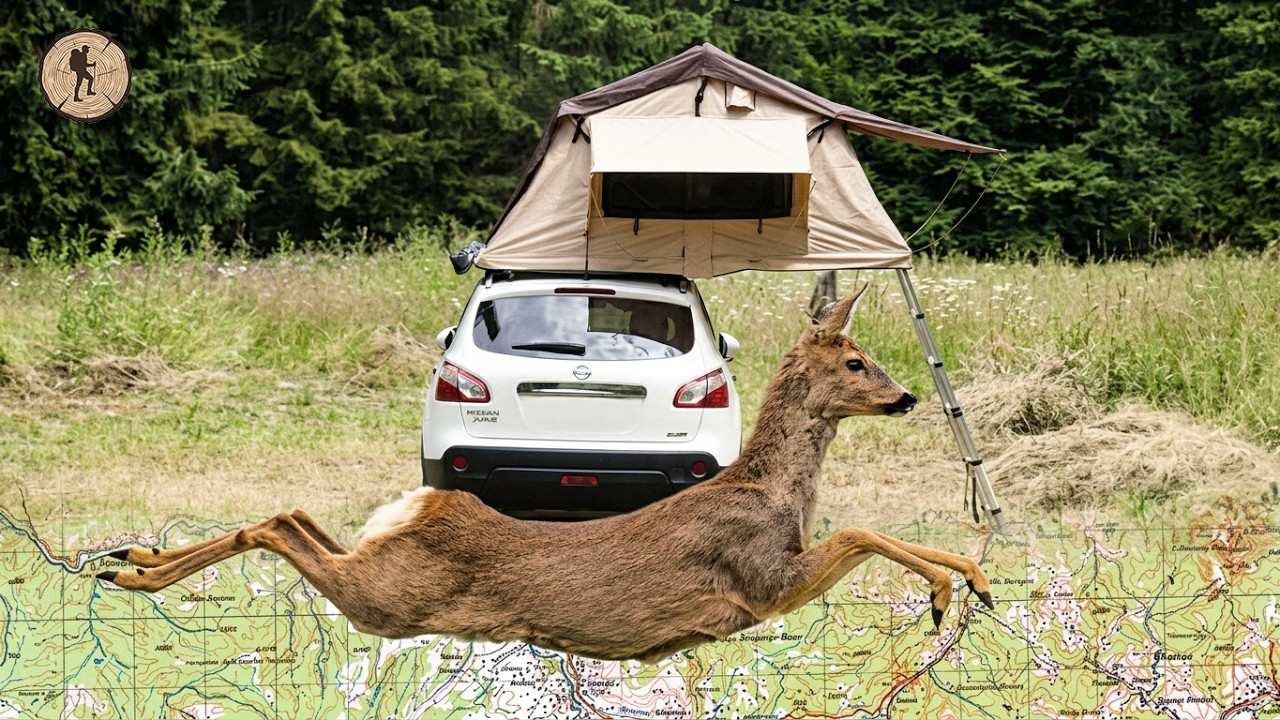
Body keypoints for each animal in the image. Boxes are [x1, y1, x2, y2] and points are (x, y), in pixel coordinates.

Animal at [96, 284, 995, 662]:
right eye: (857, 360)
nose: (909, 396)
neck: (772, 494)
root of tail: (422, 510)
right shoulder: (758, 580)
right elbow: (860, 529)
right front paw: (950, 589)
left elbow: (865, 530)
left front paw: (971, 581)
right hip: (386, 602)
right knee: (281, 527)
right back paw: (132, 572)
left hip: (381, 565)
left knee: (298, 519)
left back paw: (132, 558)